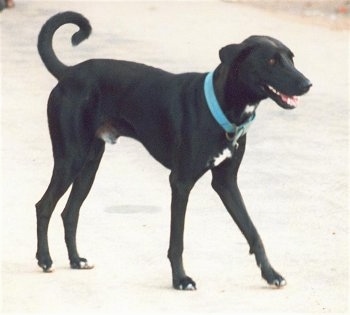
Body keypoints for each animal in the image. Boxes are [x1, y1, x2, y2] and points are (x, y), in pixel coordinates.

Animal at [36, 11, 312, 290]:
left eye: (291, 58)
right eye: (271, 61)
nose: (307, 83)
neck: (221, 106)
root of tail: (69, 72)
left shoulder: (226, 183)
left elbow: (252, 231)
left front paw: (271, 273)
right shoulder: (180, 182)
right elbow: (177, 241)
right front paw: (180, 278)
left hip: (89, 165)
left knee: (70, 212)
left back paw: (76, 260)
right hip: (71, 160)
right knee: (44, 205)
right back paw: (45, 259)